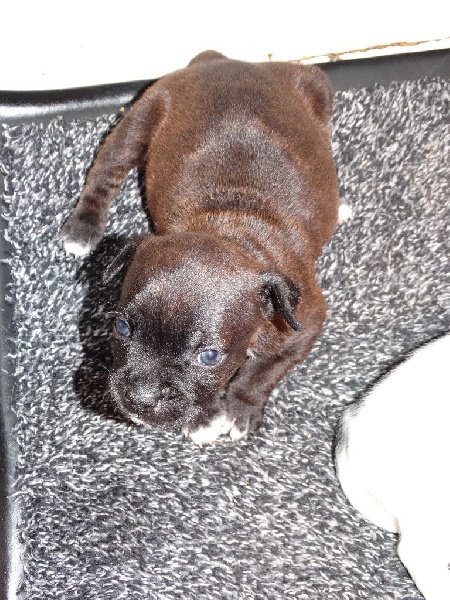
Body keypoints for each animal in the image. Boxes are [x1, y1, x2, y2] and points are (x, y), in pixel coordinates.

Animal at [61, 50, 344, 445]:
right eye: (122, 328)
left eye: (208, 357)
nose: (141, 398)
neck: (227, 230)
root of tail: (223, 60)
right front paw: (206, 418)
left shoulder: (305, 324)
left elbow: (265, 371)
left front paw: (239, 408)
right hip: (140, 118)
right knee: (106, 172)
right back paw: (83, 228)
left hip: (319, 91)